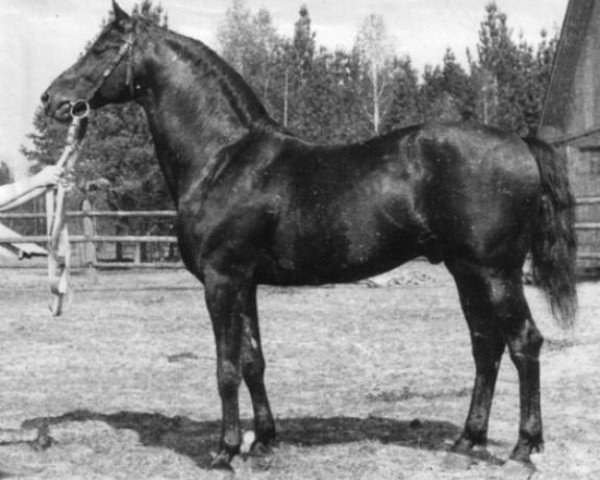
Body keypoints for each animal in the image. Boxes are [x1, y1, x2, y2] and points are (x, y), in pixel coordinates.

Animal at [41, 1, 576, 470]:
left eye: (102, 47)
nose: (51, 100)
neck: (224, 159)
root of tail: (520, 143)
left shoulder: (221, 281)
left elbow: (226, 367)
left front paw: (225, 451)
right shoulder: (246, 283)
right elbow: (253, 360)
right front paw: (263, 442)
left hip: (496, 272)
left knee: (524, 342)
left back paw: (523, 448)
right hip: (466, 271)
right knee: (486, 345)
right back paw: (468, 439)